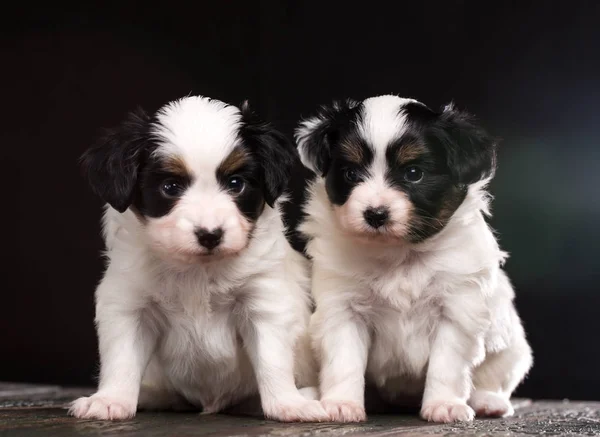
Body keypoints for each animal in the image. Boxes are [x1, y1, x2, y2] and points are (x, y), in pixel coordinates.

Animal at [69, 96, 328, 422]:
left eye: (236, 183)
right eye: (170, 187)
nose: (210, 235)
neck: (197, 271)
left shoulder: (263, 301)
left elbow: (272, 359)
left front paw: (287, 403)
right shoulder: (128, 305)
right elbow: (122, 358)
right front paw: (110, 399)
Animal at [290, 94, 536, 422]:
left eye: (413, 174)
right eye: (351, 174)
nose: (375, 214)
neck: (399, 253)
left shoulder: (457, 308)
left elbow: (446, 365)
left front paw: (444, 405)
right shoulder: (342, 308)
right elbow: (344, 360)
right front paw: (341, 404)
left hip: (510, 346)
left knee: (493, 377)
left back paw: (488, 402)